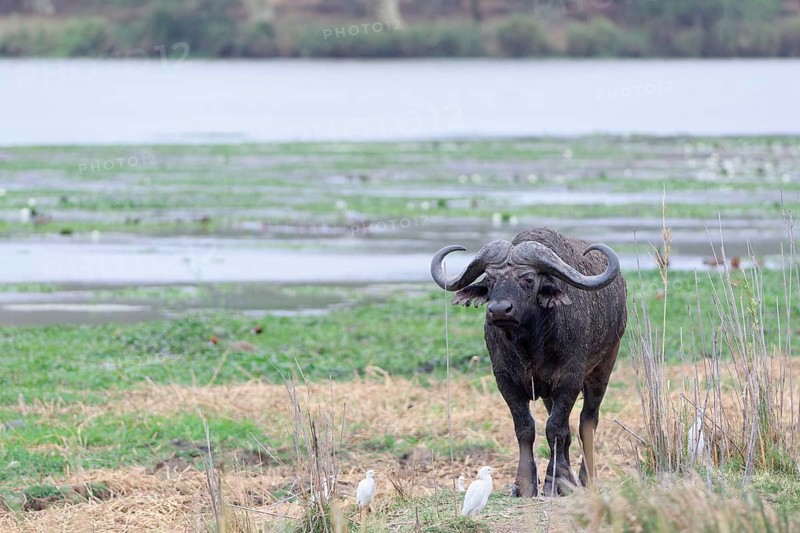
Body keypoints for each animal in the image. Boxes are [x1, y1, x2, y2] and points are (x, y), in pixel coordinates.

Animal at [430, 227, 627, 497]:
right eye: (489, 279)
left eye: (529, 280)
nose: (499, 310)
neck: (531, 346)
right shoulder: (506, 381)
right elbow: (525, 428)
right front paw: (524, 484)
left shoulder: (569, 380)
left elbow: (555, 428)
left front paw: (554, 483)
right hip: (549, 395)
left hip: (604, 367)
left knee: (587, 421)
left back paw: (586, 478)